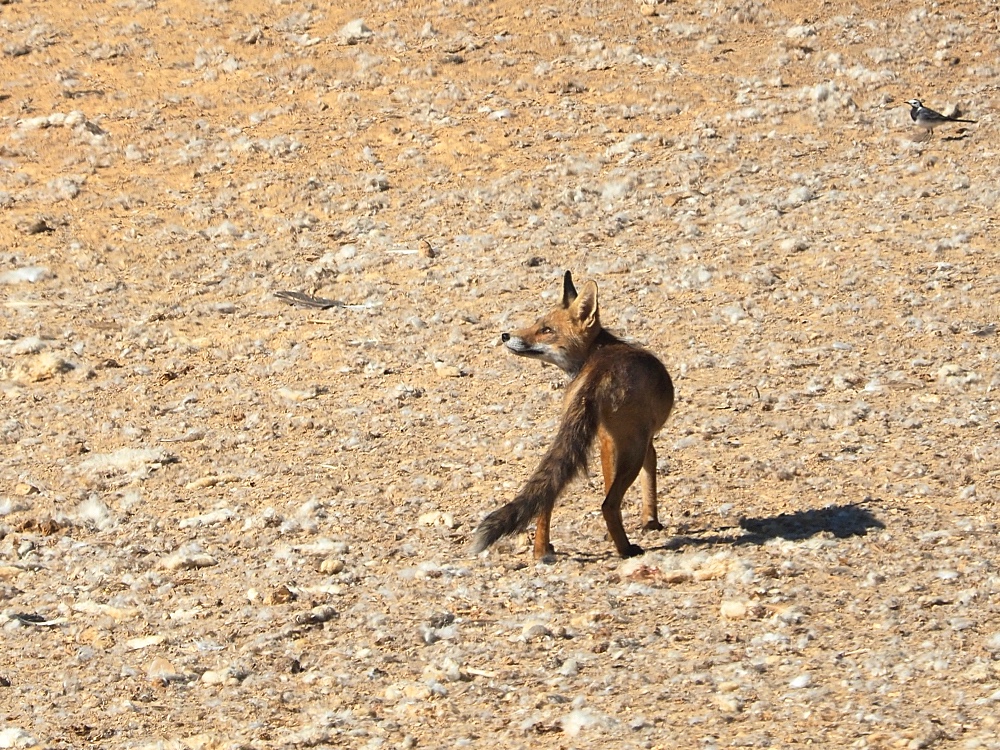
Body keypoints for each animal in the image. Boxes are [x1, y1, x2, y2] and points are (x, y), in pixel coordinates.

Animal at [472, 274, 676, 560]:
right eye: (538, 325)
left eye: (545, 329)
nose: (505, 335)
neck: (600, 350)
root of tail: (601, 369)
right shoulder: (645, 443)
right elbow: (650, 479)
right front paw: (651, 521)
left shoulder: (606, 439)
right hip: (632, 449)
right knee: (608, 504)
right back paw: (626, 549)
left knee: (547, 497)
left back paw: (541, 550)